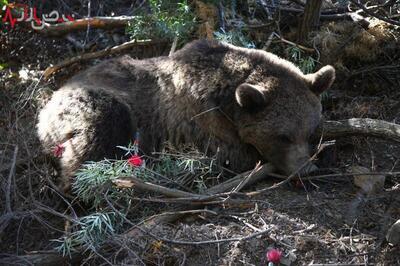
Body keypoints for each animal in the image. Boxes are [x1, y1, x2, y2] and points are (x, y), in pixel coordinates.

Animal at [37, 39, 336, 189]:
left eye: (311, 132)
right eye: (282, 136)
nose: (306, 168)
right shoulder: (202, 123)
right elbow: (235, 155)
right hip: (88, 106)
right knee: (97, 135)